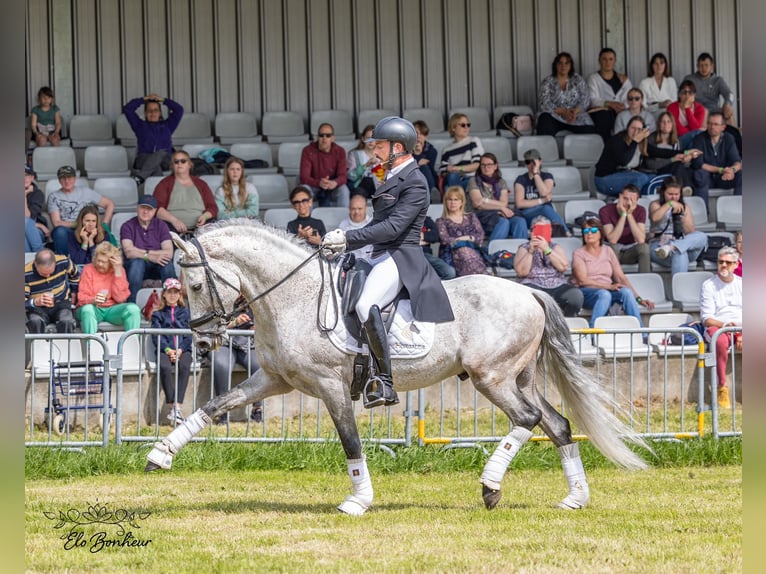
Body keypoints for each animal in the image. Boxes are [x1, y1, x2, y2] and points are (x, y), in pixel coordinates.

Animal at [146, 222, 648, 516]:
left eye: (195, 284)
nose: (203, 342)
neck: (292, 296)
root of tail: (528, 292)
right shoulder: (273, 380)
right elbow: (216, 404)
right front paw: (160, 454)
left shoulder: (329, 385)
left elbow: (350, 441)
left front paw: (358, 500)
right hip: (517, 378)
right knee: (557, 424)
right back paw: (574, 498)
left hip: (492, 377)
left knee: (527, 419)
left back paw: (490, 487)